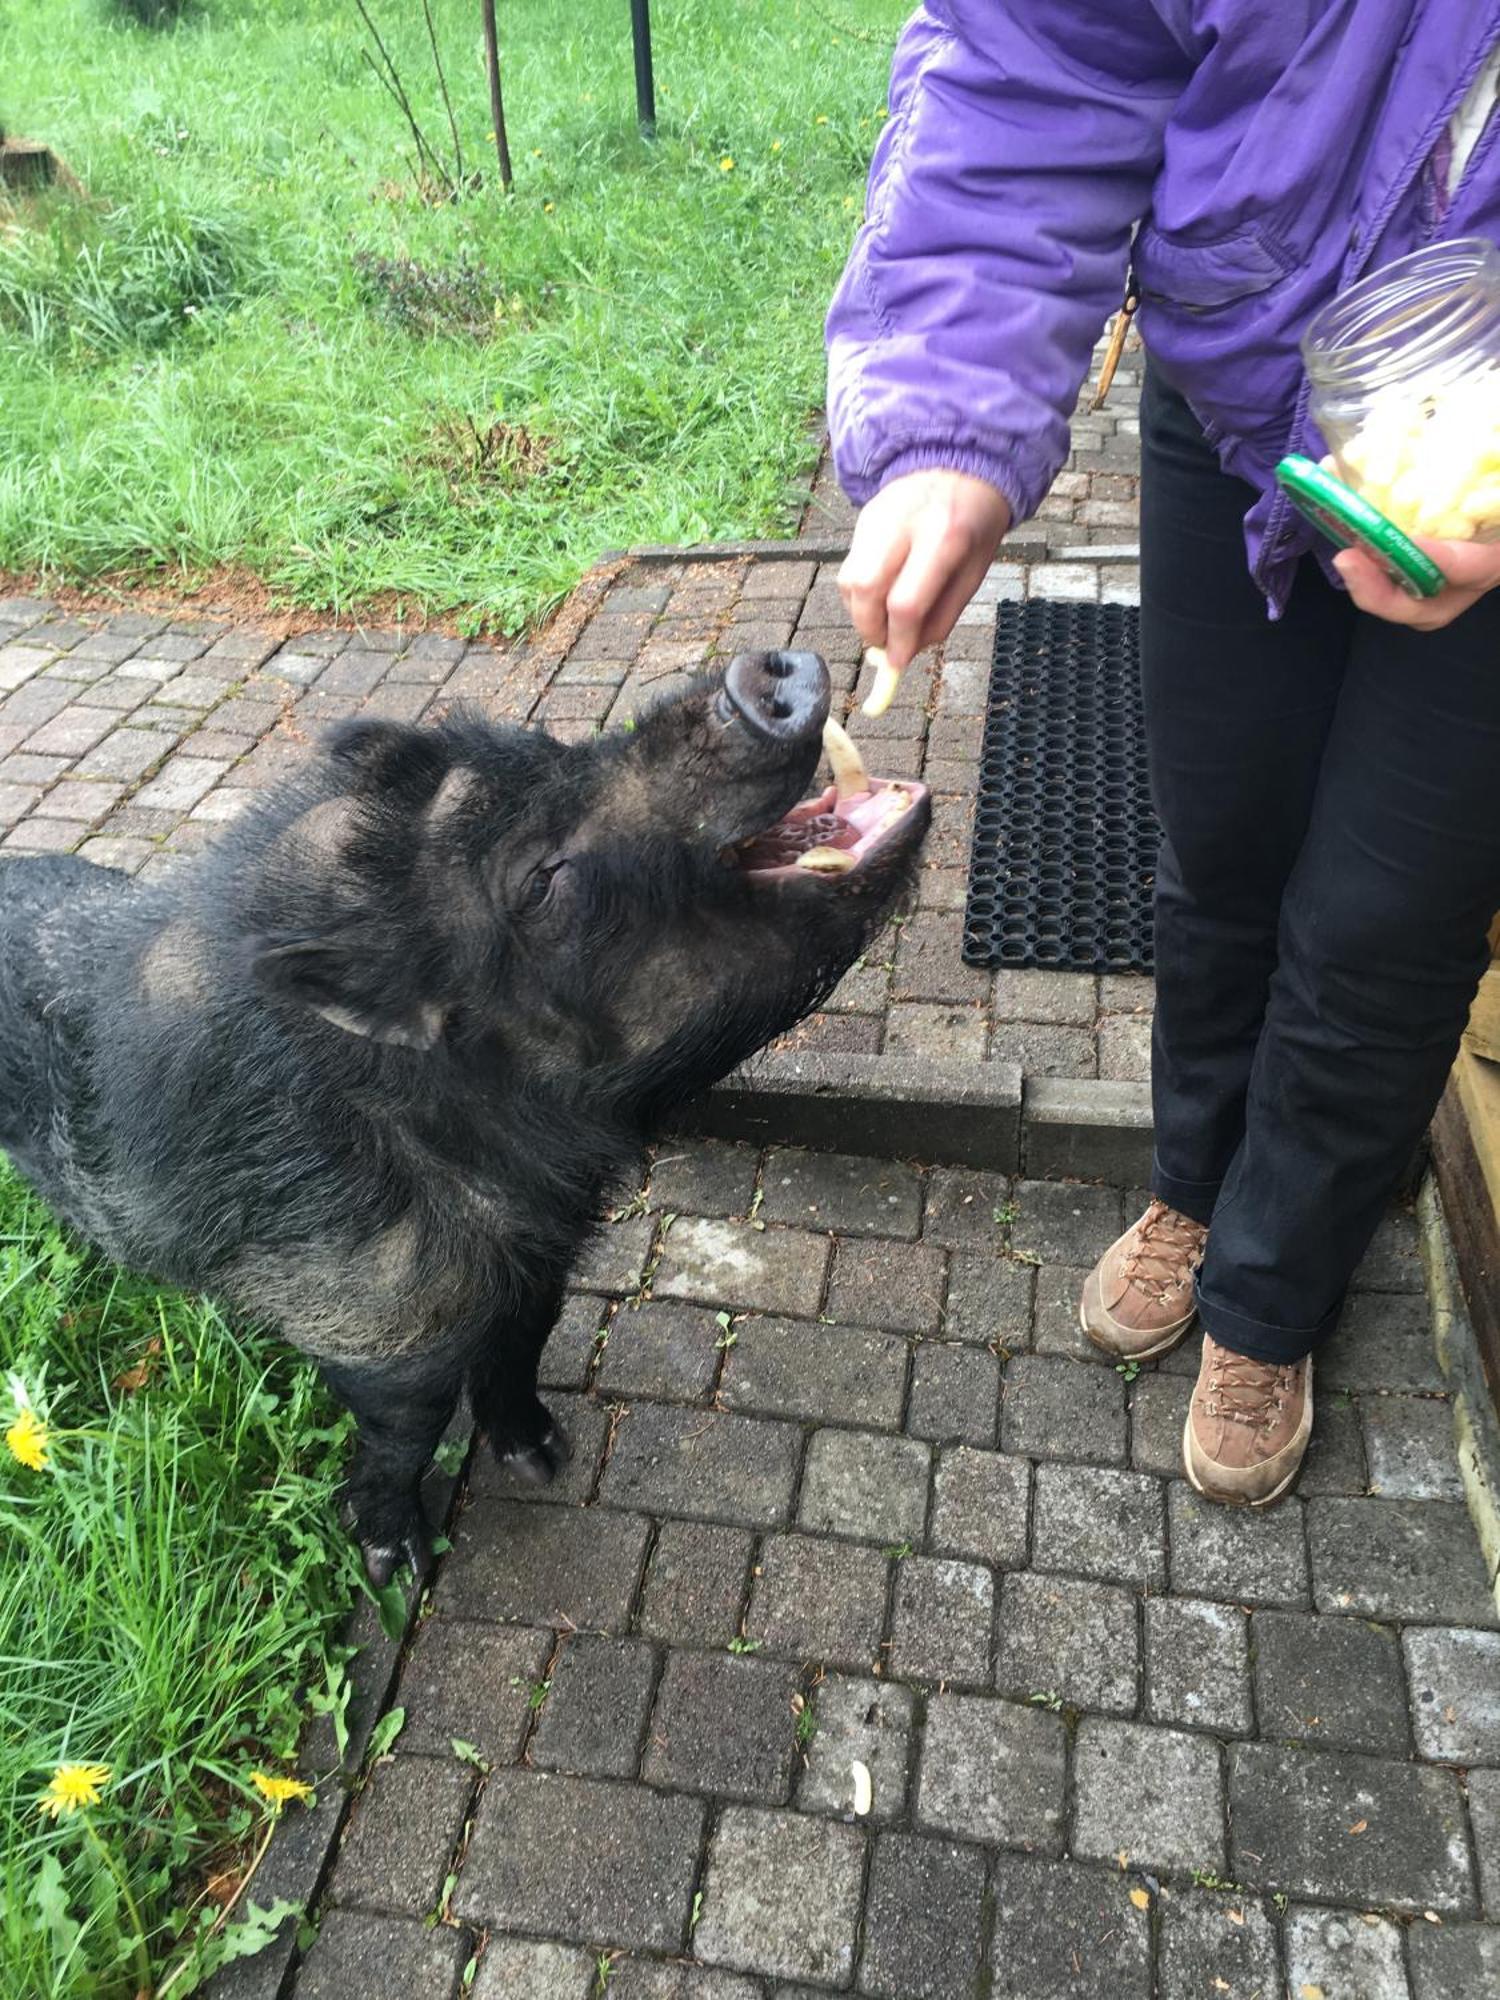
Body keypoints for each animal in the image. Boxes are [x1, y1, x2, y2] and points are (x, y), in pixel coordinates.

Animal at [0, 652, 928, 1576]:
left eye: (555, 748)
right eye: (539, 881)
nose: (762, 672)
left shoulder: (544, 1259)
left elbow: (525, 1345)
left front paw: (544, 1457)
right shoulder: (371, 1317)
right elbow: (406, 1429)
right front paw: (396, 1564)